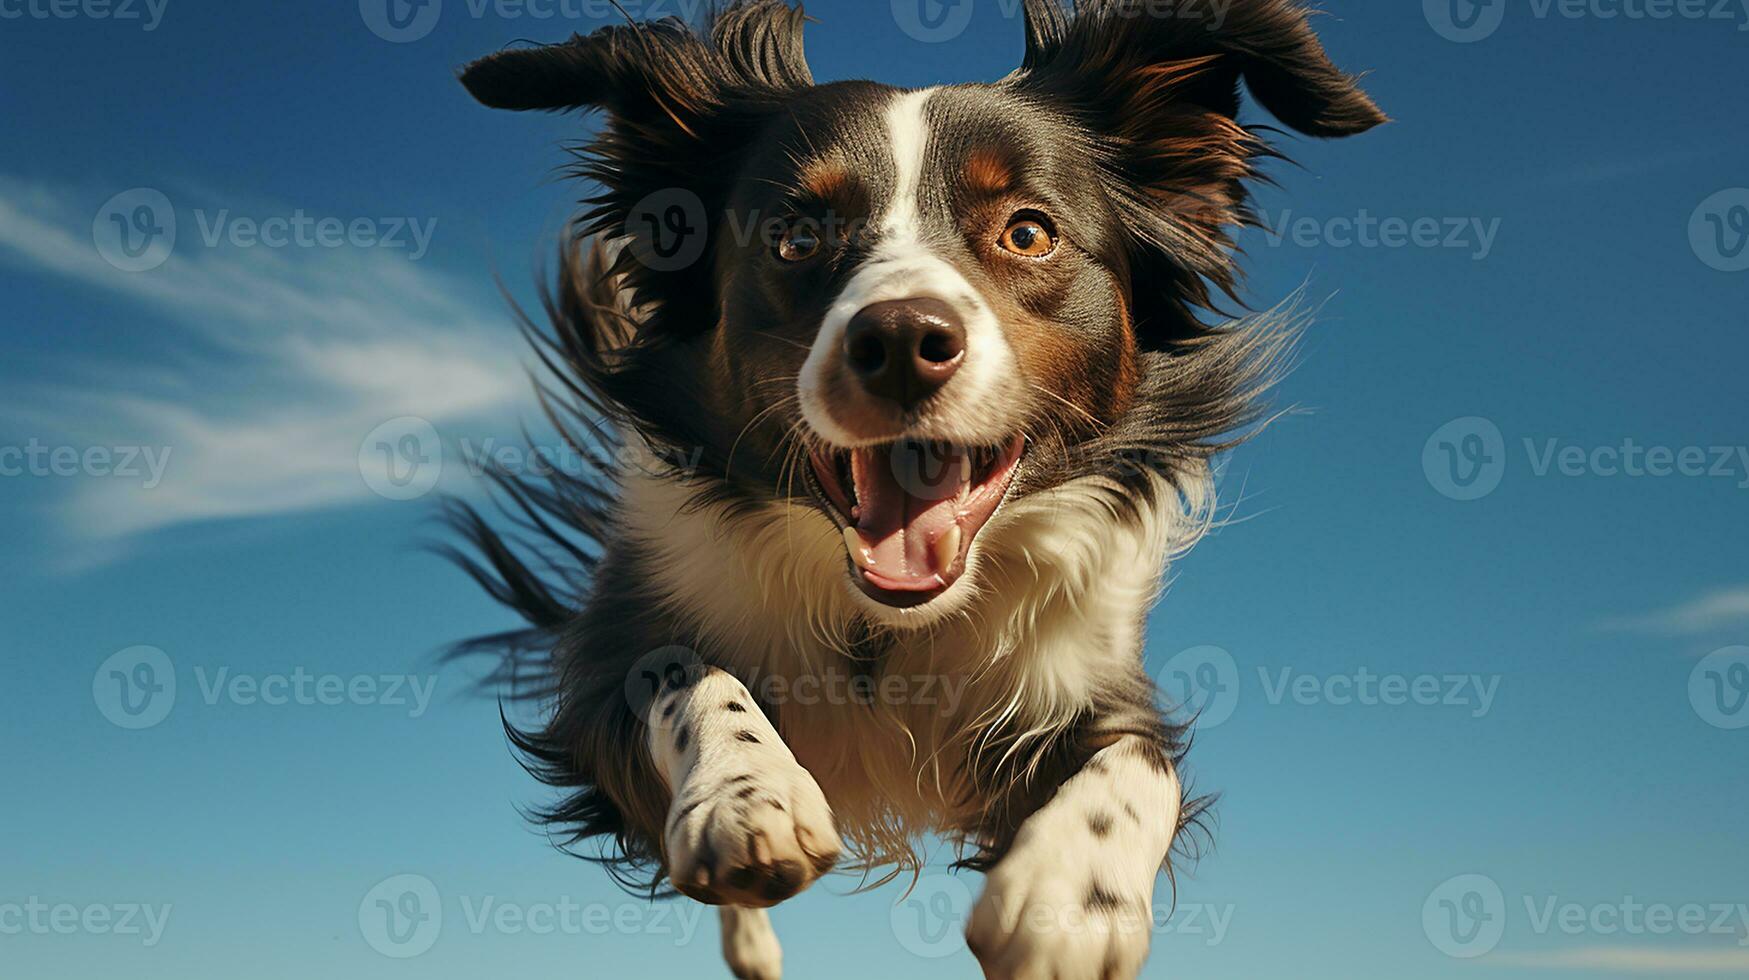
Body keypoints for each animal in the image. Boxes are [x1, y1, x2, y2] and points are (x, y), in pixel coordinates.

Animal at [451, 3, 1378, 973]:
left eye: (1026, 231)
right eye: (796, 237)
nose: (899, 340)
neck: (886, 628)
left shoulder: (1091, 679)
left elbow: (1137, 761)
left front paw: (1065, 901)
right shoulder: (608, 659)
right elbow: (684, 673)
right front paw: (748, 796)